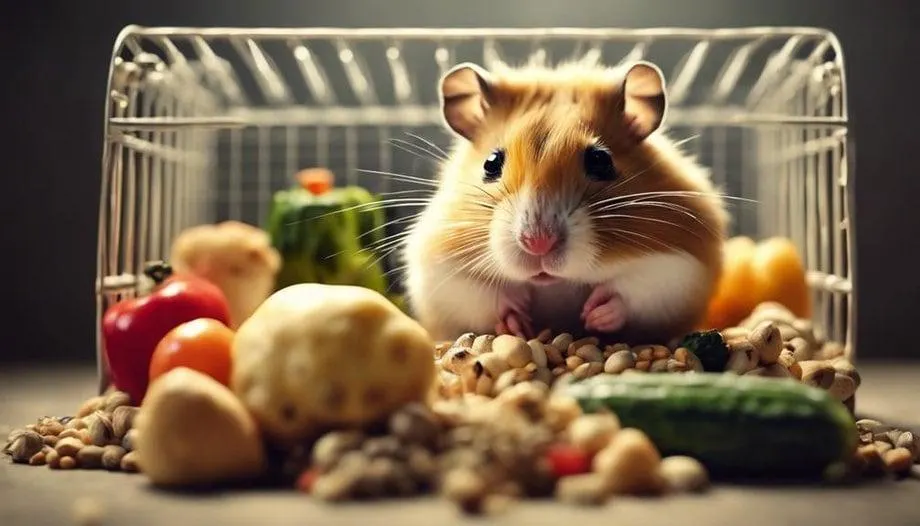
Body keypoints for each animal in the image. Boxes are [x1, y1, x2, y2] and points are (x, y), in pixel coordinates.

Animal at [400, 59, 730, 345]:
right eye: (491, 163)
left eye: (600, 160)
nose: (537, 244)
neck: (554, 283)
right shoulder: (438, 271)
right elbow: (482, 295)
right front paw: (517, 316)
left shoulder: (680, 267)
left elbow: (635, 291)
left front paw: (595, 313)